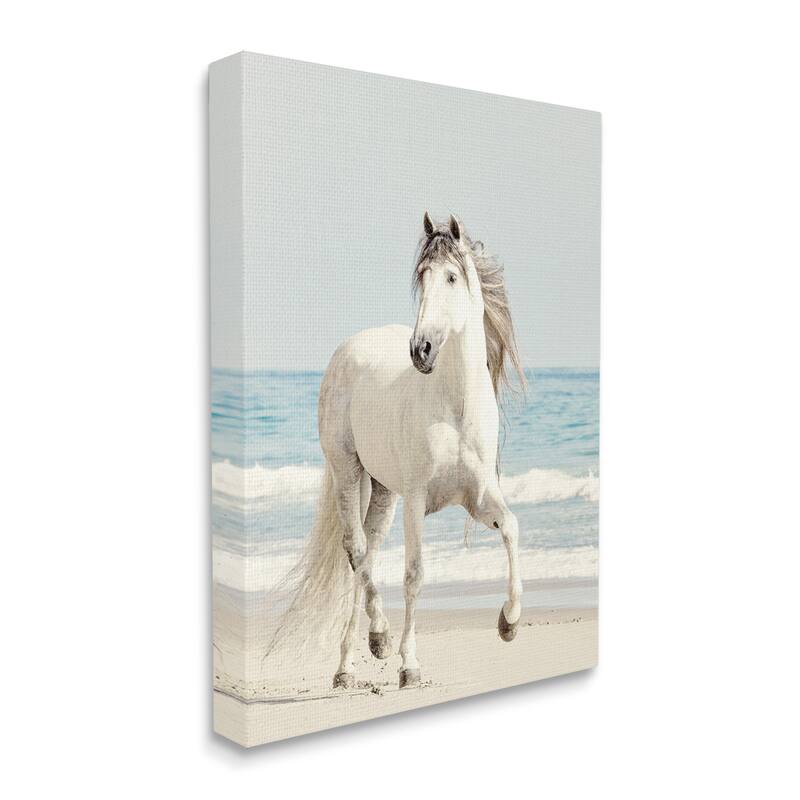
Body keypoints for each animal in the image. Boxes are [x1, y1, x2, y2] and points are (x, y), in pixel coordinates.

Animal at [274, 213, 526, 690]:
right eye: (422, 276)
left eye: (451, 277)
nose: (420, 350)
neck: (455, 406)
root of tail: (348, 349)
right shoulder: (417, 500)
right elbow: (414, 574)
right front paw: (409, 665)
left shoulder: (479, 498)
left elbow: (511, 529)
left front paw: (509, 622)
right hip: (349, 473)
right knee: (356, 550)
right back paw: (373, 644)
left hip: (384, 492)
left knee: (366, 555)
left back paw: (352, 661)